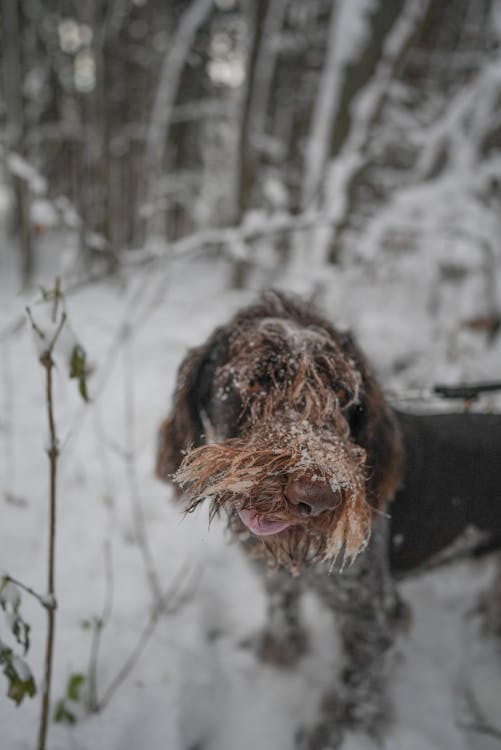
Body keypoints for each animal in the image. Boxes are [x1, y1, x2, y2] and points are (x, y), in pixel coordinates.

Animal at [154, 290, 500, 748]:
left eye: (340, 391)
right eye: (257, 380)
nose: (319, 496)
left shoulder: (374, 618)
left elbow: (354, 695)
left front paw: (332, 735)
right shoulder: (280, 582)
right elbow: (283, 619)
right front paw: (276, 658)